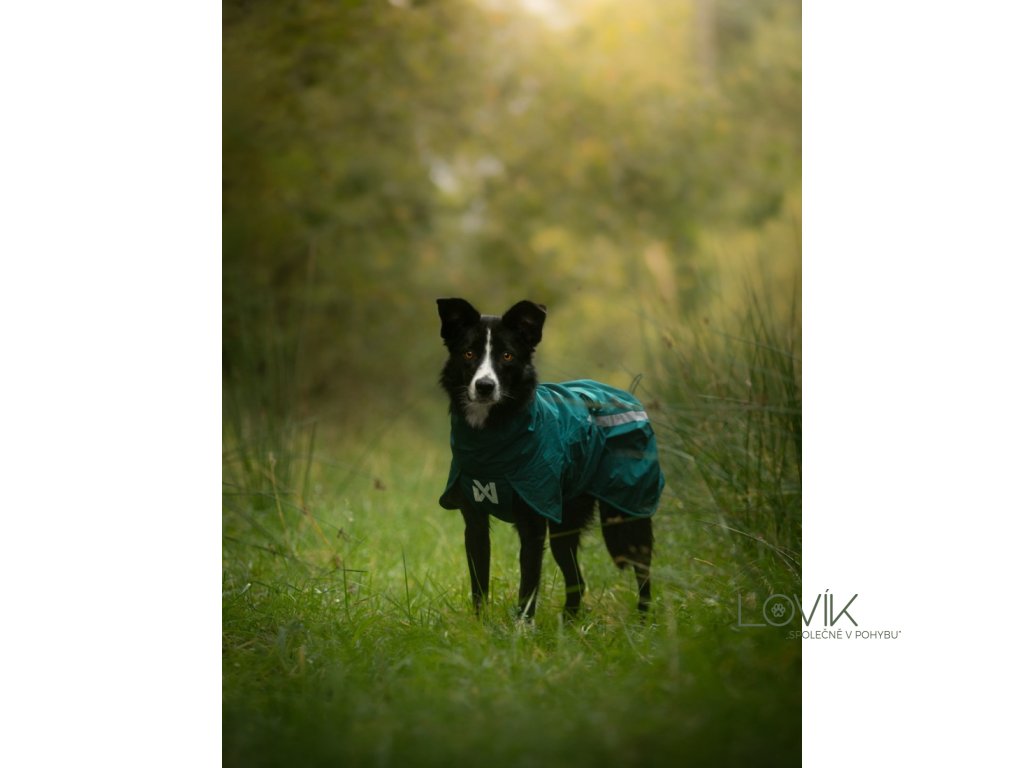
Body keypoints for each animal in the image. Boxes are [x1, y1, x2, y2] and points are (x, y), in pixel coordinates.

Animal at [437, 298, 664, 619]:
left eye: (507, 355)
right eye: (469, 353)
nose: (484, 386)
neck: (490, 439)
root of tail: (625, 394)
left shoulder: (533, 522)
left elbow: (528, 585)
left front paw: (521, 628)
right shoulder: (475, 521)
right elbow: (479, 584)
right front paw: (479, 627)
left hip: (631, 510)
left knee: (643, 575)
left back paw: (643, 623)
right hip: (564, 524)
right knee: (577, 580)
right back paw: (568, 625)